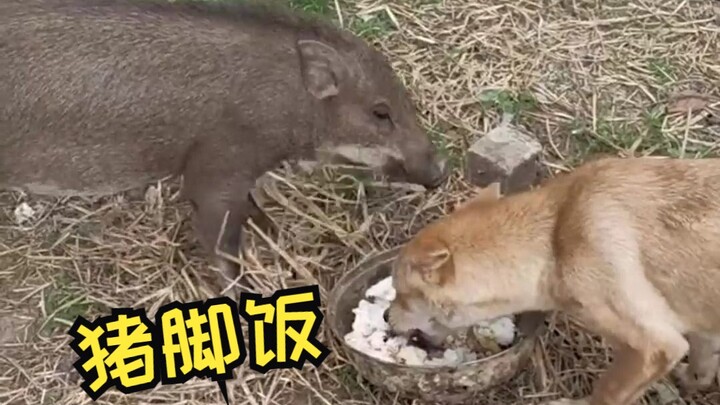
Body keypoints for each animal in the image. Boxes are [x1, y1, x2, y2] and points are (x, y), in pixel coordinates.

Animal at [0, 0, 449, 290]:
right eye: (380, 113)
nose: (439, 173)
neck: (288, 100)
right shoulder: (214, 168)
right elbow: (224, 244)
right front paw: (243, 291)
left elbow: (253, 209)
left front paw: (274, 233)